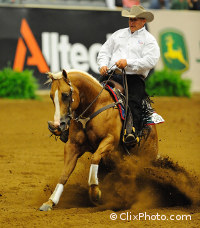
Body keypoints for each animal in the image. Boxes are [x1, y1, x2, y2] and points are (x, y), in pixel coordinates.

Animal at [39, 69, 158, 210]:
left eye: (66, 95)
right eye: (51, 96)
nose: (58, 125)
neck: (94, 106)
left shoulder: (110, 140)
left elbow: (95, 158)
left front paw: (95, 191)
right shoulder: (72, 146)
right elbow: (65, 173)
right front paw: (50, 201)